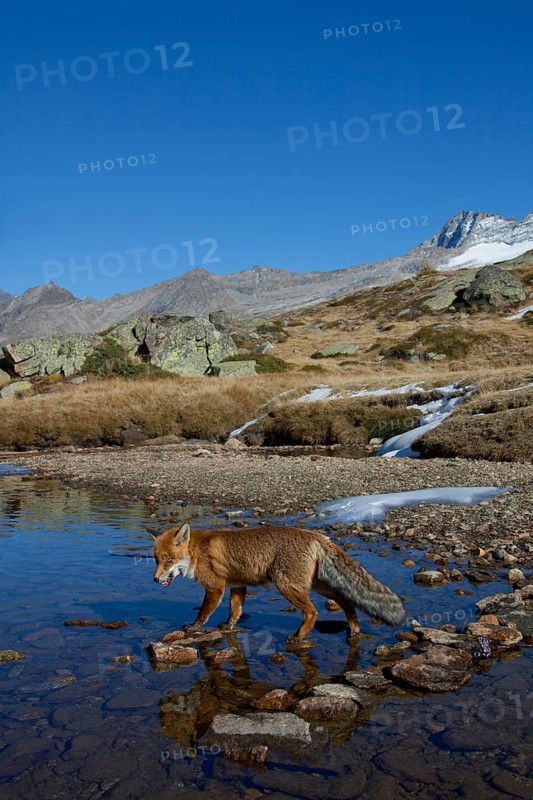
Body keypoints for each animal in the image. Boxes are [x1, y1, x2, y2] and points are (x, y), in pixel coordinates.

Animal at [152, 523, 405, 641]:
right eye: (156, 560)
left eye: (168, 560)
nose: (155, 579)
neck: (196, 551)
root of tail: (317, 536)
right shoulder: (237, 586)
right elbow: (235, 611)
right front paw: (229, 627)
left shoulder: (216, 587)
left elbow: (204, 612)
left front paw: (194, 627)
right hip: (318, 585)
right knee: (346, 601)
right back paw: (354, 629)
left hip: (287, 586)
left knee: (312, 612)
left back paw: (299, 636)